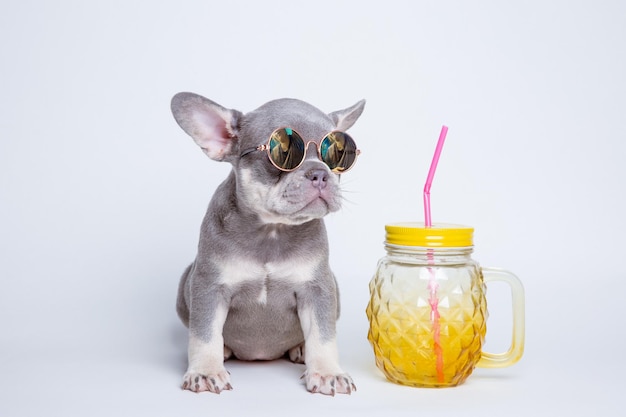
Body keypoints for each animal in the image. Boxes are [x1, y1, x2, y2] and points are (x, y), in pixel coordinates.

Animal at [171, 92, 366, 394]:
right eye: (282, 154)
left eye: (338, 154)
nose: (320, 173)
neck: (272, 230)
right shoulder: (209, 286)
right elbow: (204, 334)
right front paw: (205, 370)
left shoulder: (318, 289)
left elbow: (323, 335)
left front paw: (326, 372)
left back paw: (300, 349)